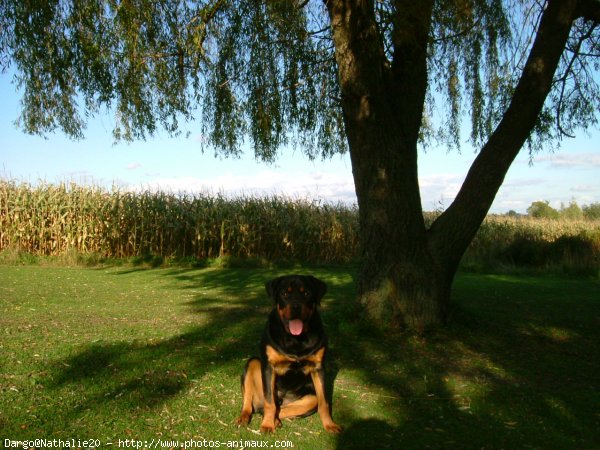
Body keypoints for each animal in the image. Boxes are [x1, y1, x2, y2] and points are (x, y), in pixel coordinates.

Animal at [234, 274, 342, 432]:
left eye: (306, 293)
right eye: (285, 294)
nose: (295, 306)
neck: (295, 339)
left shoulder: (319, 367)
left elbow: (324, 402)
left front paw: (330, 424)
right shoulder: (268, 367)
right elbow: (269, 402)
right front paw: (267, 425)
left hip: (309, 398)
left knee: (281, 408)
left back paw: (277, 420)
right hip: (253, 363)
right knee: (253, 401)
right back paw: (244, 417)